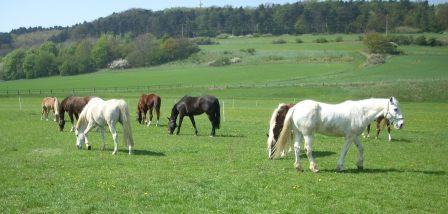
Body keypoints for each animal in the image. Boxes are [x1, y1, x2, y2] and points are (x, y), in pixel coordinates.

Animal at [272, 97, 404, 172]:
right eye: (395, 109)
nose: (401, 124)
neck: (360, 112)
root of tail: (296, 107)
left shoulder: (355, 136)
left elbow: (361, 148)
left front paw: (360, 164)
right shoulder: (349, 137)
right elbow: (344, 151)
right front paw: (340, 166)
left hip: (298, 133)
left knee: (297, 148)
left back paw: (298, 167)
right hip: (308, 134)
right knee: (307, 149)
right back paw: (314, 167)